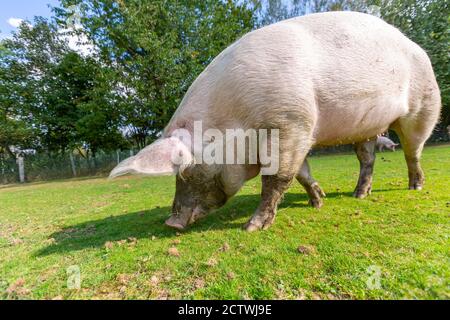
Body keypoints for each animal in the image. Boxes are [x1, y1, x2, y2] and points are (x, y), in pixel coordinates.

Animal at [110, 11, 442, 232]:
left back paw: (415, 187)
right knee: (367, 158)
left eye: (187, 171)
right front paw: (318, 202)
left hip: (423, 107)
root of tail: (419, 48)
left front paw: (251, 227)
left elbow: (276, 179)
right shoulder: (300, 129)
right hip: (366, 127)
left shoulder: (289, 124)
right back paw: (359, 195)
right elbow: (302, 174)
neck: (236, 118)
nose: (171, 222)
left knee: (413, 151)